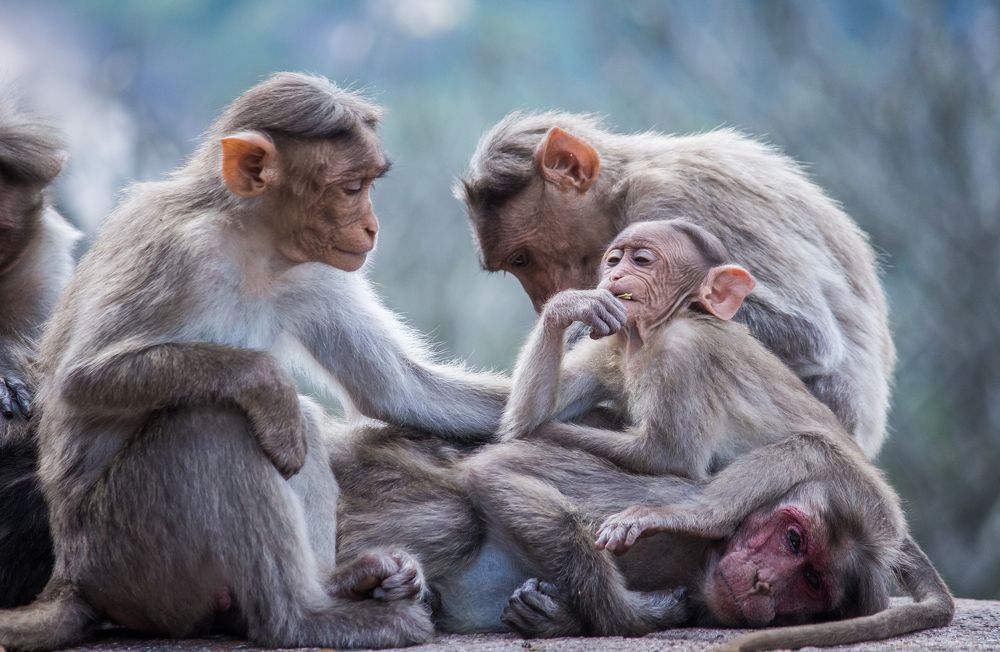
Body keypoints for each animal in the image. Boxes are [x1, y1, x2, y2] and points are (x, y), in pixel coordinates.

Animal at [0, 72, 510, 651]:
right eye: (351, 188)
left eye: (367, 184)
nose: (371, 227)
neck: (250, 240)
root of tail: (69, 578)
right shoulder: (180, 251)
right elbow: (78, 380)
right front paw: (266, 381)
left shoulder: (314, 268)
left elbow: (399, 389)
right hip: (128, 557)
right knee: (218, 423)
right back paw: (302, 619)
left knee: (285, 426)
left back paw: (341, 586)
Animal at [500, 219, 850, 481]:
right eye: (613, 260)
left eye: (641, 260)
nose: (615, 274)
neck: (655, 330)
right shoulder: (610, 347)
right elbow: (530, 413)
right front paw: (571, 304)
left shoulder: (684, 351)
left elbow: (667, 458)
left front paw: (546, 433)